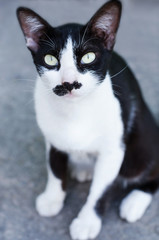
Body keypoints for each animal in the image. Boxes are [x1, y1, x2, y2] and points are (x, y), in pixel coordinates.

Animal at [16, 0, 159, 240]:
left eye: (88, 57)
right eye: (50, 59)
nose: (69, 83)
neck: (75, 112)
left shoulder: (114, 149)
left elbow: (100, 190)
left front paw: (87, 221)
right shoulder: (51, 138)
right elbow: (54, 168)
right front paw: (52, 199)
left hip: (143, 142)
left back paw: (133, 202)